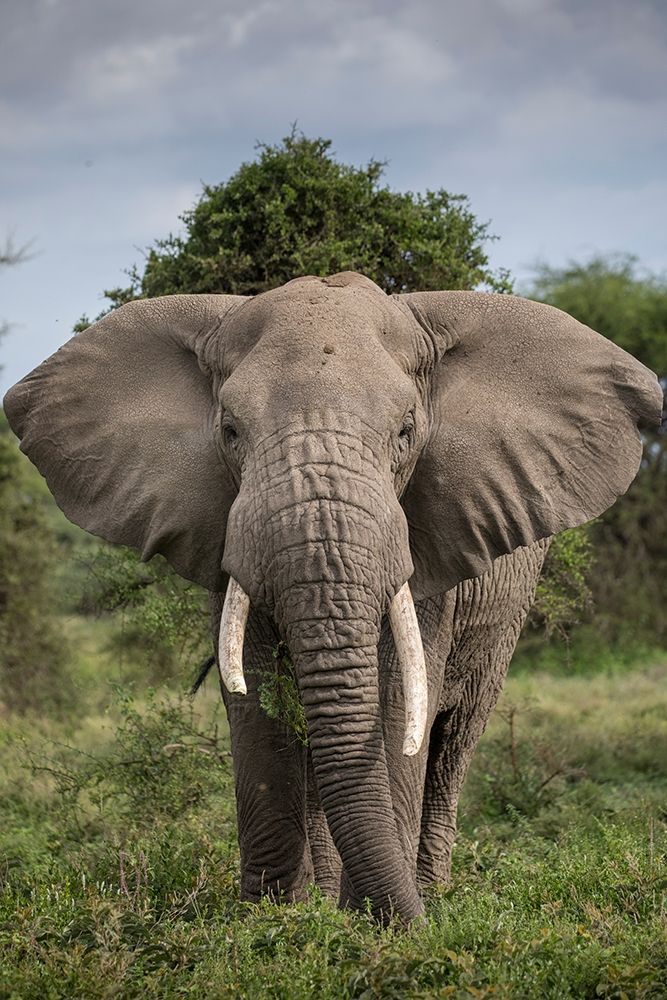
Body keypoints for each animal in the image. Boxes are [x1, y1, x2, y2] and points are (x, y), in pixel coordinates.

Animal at [4, 271, 662, 925]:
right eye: (230, 432)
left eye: (406, 432)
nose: (412, 926)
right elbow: (256, 696)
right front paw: (273, 919)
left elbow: (398, 699)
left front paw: (374, 924)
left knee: (453, 740)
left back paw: (429, 891)